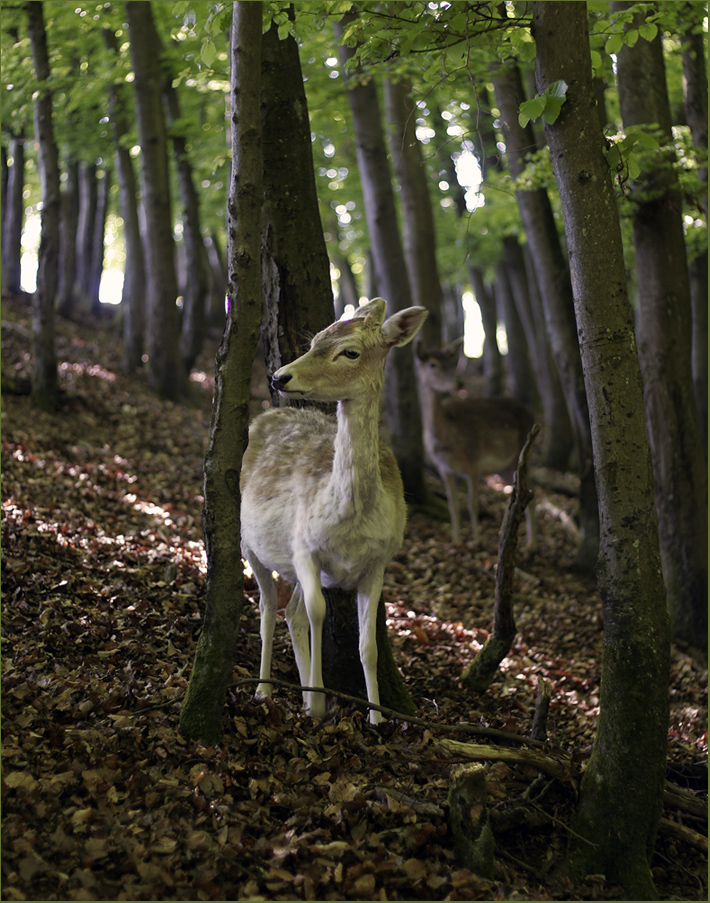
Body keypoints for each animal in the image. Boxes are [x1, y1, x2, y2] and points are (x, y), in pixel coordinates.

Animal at [242, 300, 428, 724]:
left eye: (350, 352)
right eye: (315, 340)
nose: (279, 376)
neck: (350, 519)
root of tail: (264, 415)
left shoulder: (378, 562)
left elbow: (367, 644)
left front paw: (376, 715)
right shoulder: (304, 547)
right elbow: (317, 613)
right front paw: (319, 704)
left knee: (289, 610)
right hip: (248, 544)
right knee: (267, 607)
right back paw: (263, 689)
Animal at [414, 340, 536, 548]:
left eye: (451, 361)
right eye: (432, 364)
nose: (458, 383)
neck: (444, 439)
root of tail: (532, 415)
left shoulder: (473, 461)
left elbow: (473, 505)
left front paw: (476, 542)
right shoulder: (443, 468)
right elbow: (453, 505)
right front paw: (455, 541)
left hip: (527, 454)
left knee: (533, 495)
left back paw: (531, 544)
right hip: (506, 467)